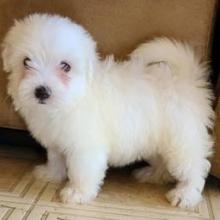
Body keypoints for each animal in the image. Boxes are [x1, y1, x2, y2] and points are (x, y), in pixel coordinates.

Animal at [1, 13, 215, 208]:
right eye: (26, 62)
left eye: (66, 66)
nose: (42, 91)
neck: (73, 98)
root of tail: (186, 79)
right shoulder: (55, 140)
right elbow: (55, 157)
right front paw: (51, 173)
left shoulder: (85, 147)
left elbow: (82, 171)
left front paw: (77, 192)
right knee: (163, 161)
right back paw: (152, 175)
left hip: (181, 140)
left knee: (195, 167)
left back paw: (186, 195)